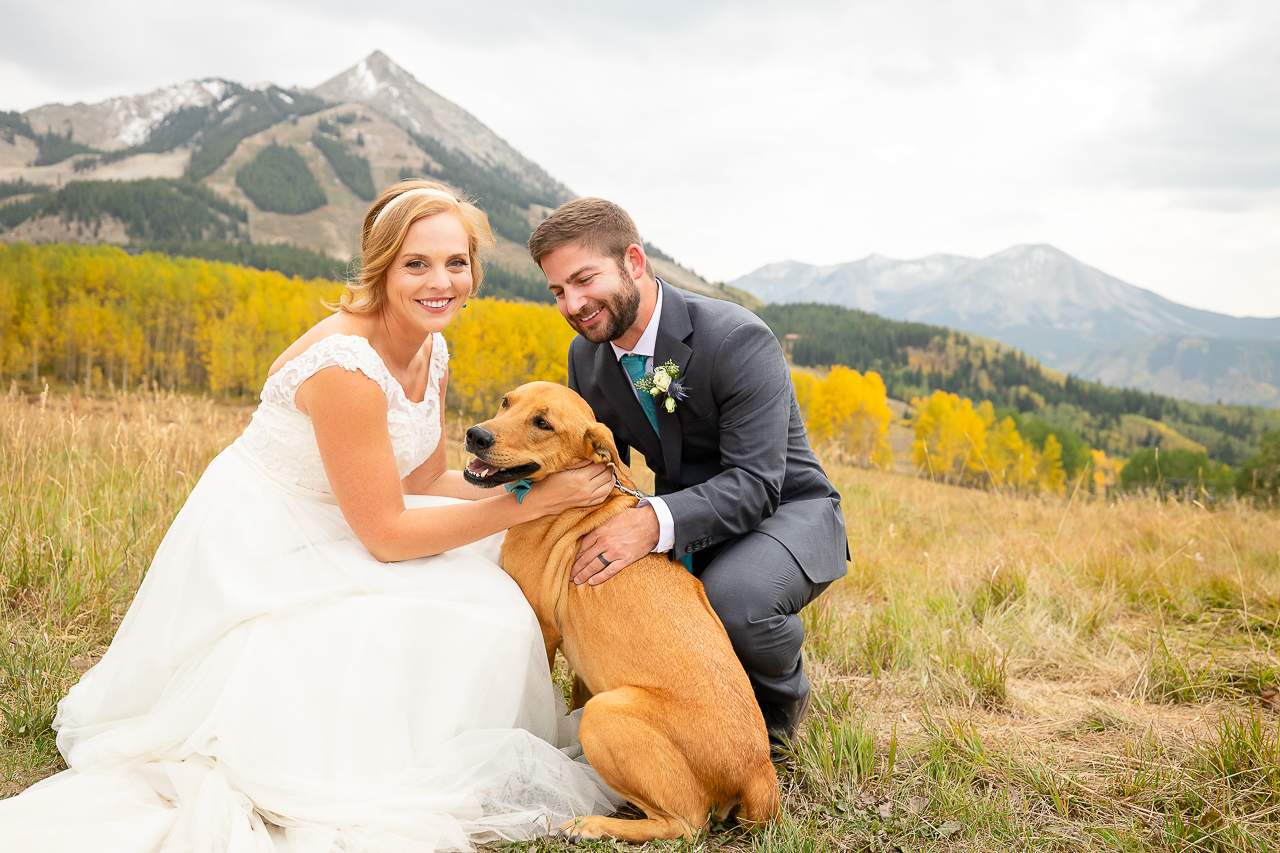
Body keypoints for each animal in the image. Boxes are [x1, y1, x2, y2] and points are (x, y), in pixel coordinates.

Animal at [463, 381, 778, 840]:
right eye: (507, 402)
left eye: (543, 424)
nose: (476, 436)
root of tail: (759, 770)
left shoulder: (543, 629)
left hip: (606, 715)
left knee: (684, 823)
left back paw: (590, 824)